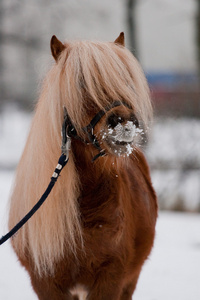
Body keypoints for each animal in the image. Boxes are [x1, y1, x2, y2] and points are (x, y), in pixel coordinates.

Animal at [8, 32, 157, 300]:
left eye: (126, 79)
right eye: (80, 83)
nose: (125, 123)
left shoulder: (111, 278)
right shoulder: (46, 283)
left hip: (130, 281)